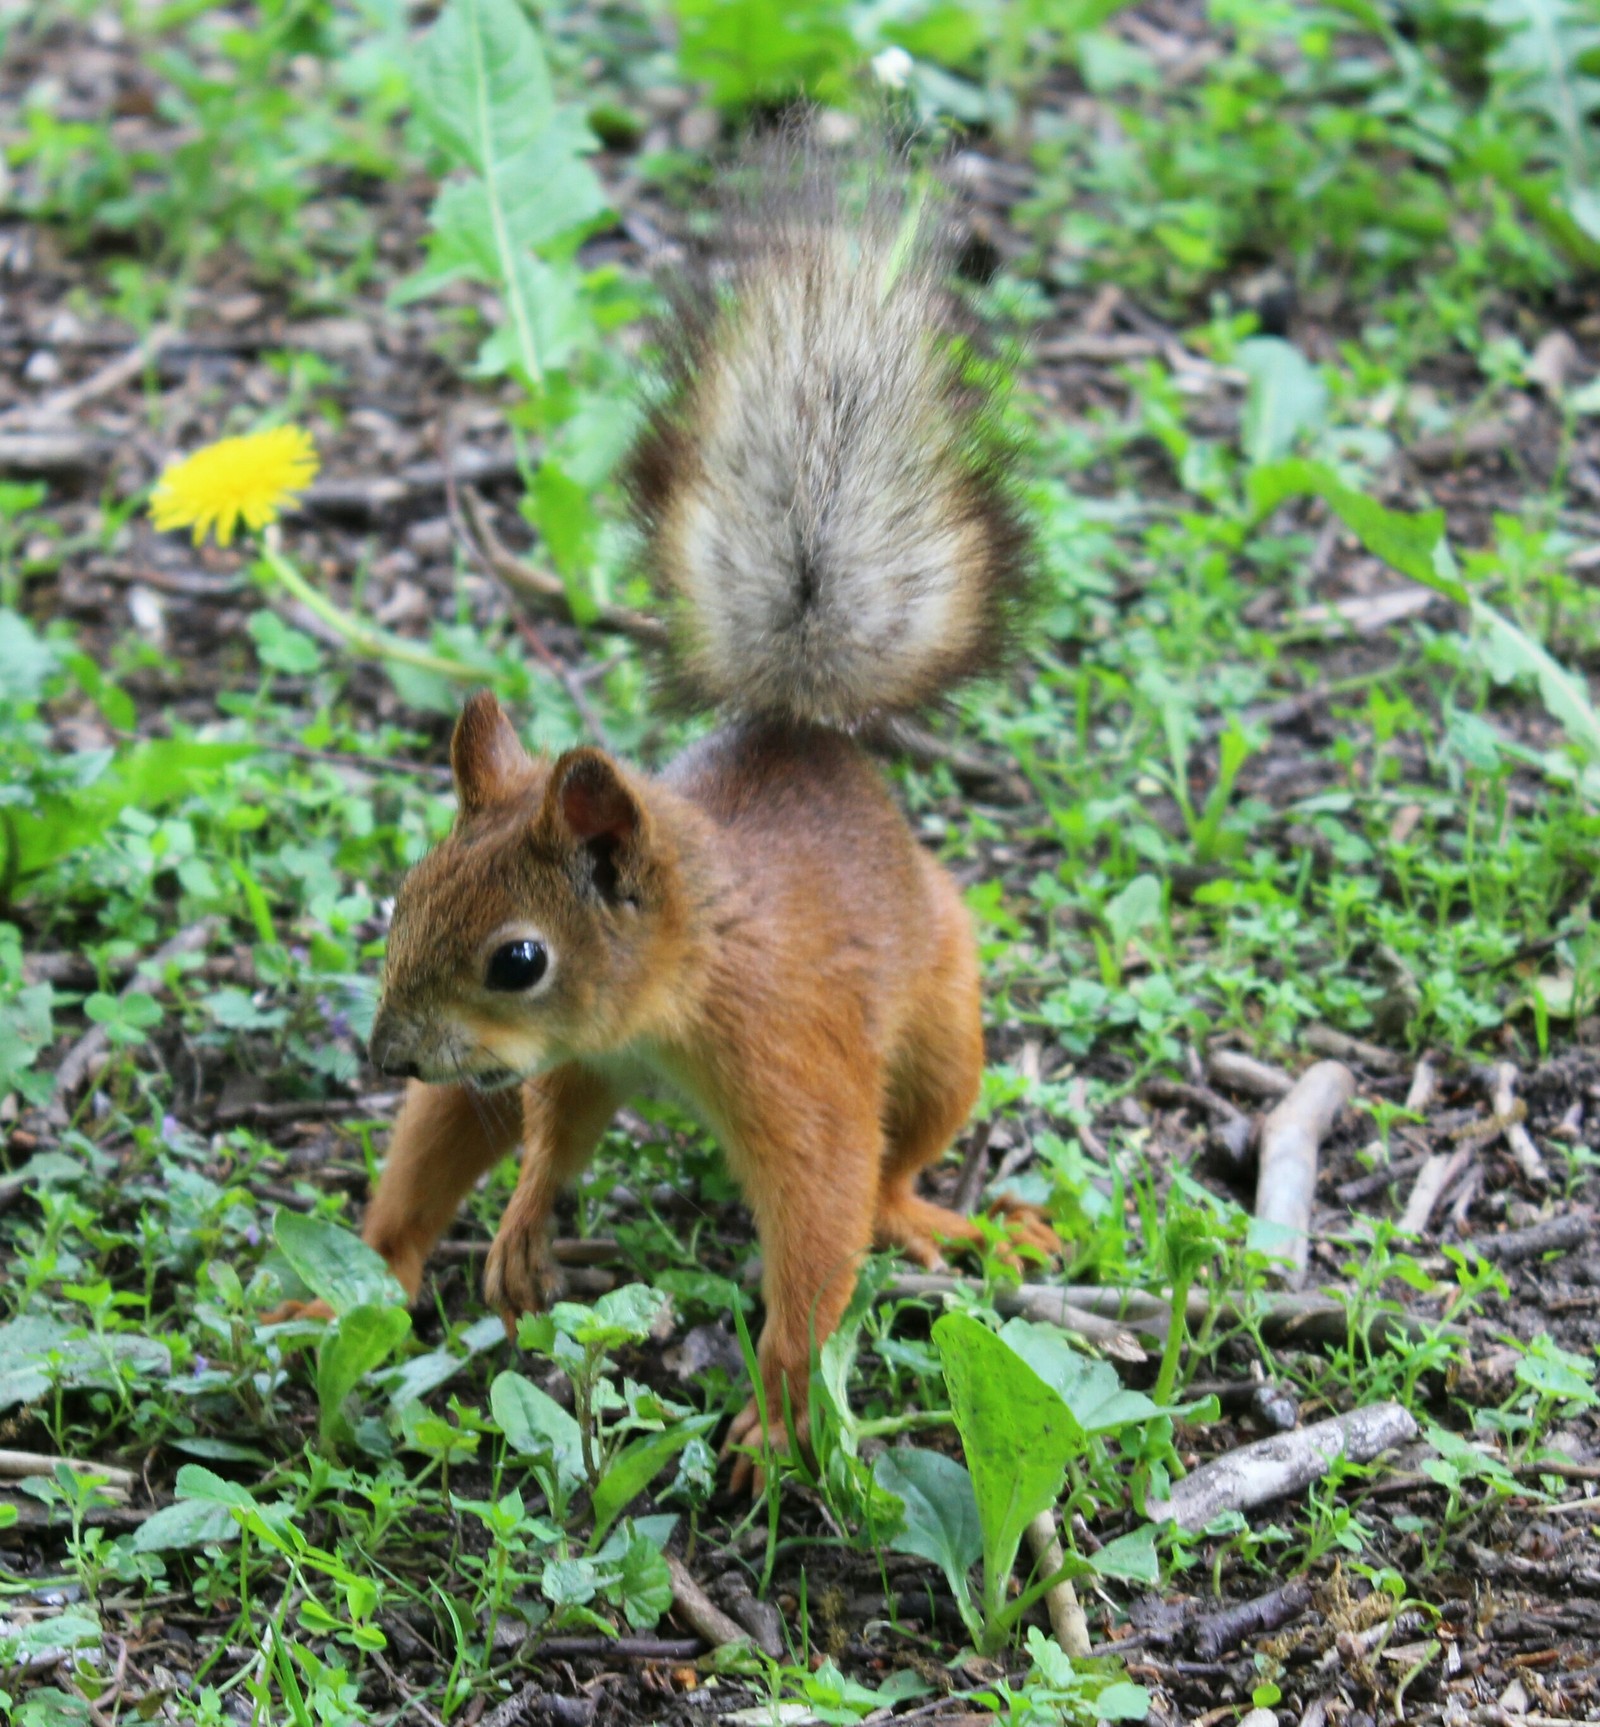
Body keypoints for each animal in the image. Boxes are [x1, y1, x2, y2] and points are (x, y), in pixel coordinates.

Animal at [269, 148, 1057, 1492]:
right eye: (402, 896)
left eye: (518, 958)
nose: (385, 1057)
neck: (670, 994)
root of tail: (804, 733)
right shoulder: (570, 1061)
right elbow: (541, 1131)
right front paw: (522, 1226)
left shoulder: (790, 1056)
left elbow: (821, 1219)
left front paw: (781, 1418)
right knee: (429, 1174)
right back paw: (344, 1294)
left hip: (946, 1030)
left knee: (897, 1157)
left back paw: (924, 1213)